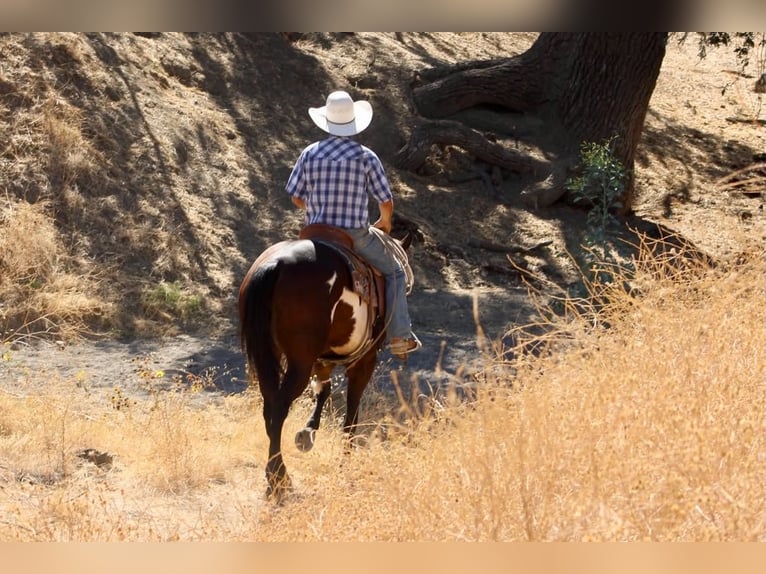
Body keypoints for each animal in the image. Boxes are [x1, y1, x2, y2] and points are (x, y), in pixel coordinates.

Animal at [238, 224, 412, 500]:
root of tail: (275, 265)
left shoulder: (321, 358)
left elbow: (324, 390)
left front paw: (308, 432)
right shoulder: (365, 359)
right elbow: (352, 407)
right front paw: (346, 458)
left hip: (270, 356)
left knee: (269, 405)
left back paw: (278, 473)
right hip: (299, 362)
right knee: (279, 407)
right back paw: (279, 479)